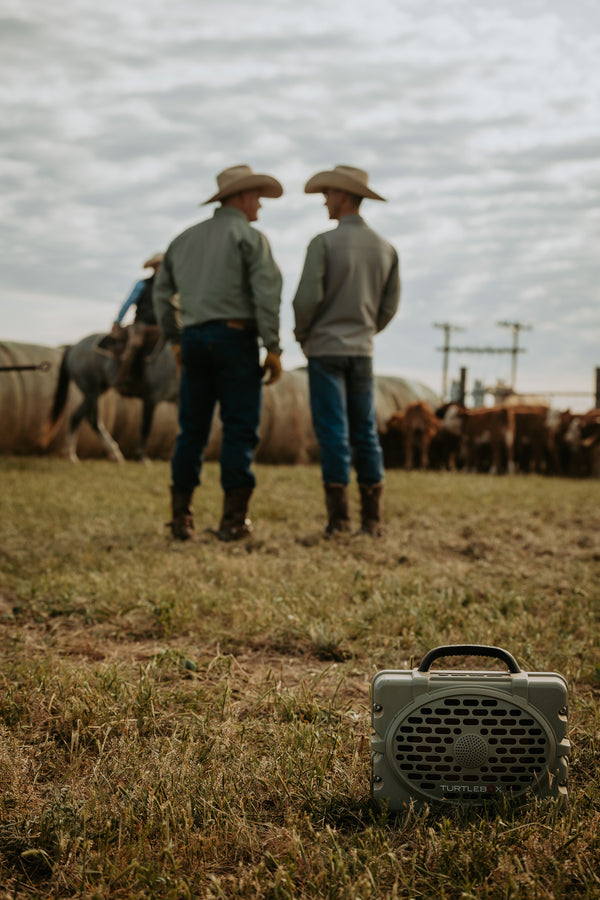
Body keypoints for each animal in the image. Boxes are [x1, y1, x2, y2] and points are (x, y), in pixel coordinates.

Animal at [42, 332, 179, 464]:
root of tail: (74, 347)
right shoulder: (151, 398)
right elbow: (146, 427)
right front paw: (142, 457)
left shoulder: (177, 401)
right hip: (91, 390)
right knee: (81, 417)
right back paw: (73, 455)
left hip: (98, 390)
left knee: (88, 419)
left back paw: (113, 454)